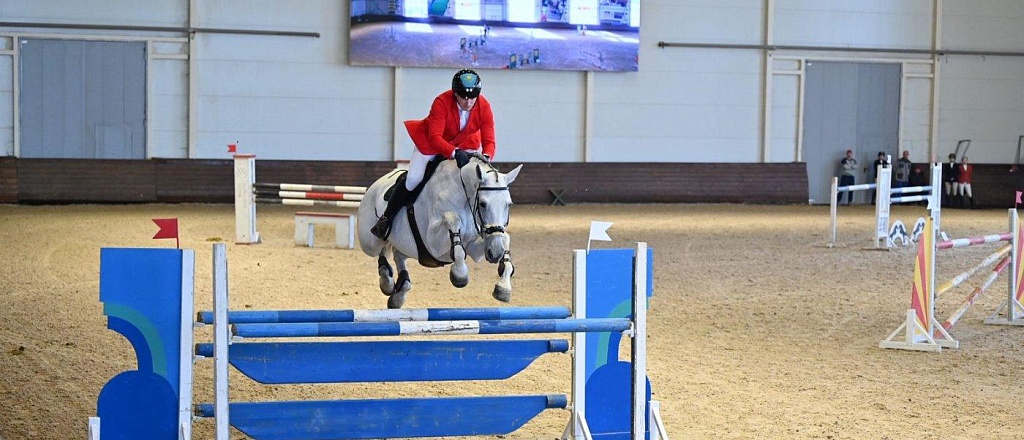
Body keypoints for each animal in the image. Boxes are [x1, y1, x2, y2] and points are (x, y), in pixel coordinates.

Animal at [357, 155, 523, 309]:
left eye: (509, 204)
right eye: (482, 204)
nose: (495, 253)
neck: (464, 198)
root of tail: (376, 185)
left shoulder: (475, 249)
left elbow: (505, 238)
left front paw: (503, 287)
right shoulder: (433, 244)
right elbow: (452, 218)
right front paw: (460, 275)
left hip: (408, 247)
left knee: (397, 254)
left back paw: (397, 291)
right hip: (369, 243)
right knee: (382, 248)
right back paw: (387, 279)